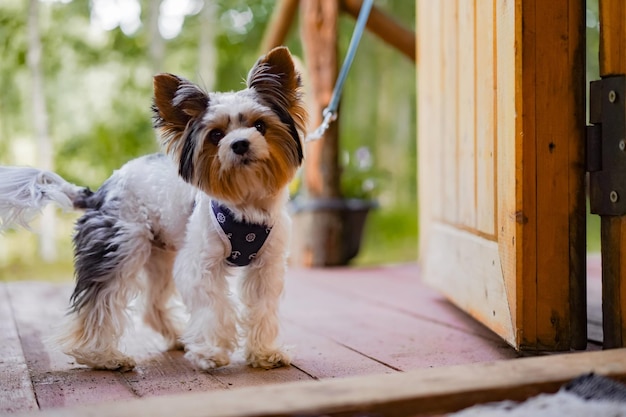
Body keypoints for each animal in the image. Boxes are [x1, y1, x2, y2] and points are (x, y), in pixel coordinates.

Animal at [0, 46, 304, 370]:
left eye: (260, 125)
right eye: (216, 135)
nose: (240, 144)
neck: (245, 204)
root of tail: (100, 193)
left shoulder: (267, 266)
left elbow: (262, 307)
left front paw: (264, 352)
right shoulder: (200, 265)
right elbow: (213, 306)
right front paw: (211, 351)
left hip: (159, 256)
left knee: (150, 305)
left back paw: (178, 337)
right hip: (121, 245)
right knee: (99, 302)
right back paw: (102, 356)